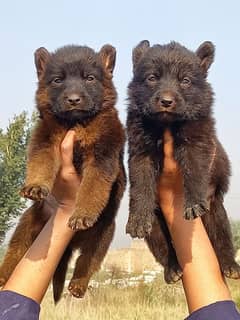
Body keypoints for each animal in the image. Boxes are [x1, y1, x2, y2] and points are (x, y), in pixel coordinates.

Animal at [126, 40, 239, 282]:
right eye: (152, 77)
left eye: (185, 81)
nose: (166, 101)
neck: (166, 124)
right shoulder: (140, 151)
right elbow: (141, 184)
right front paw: (137, 218)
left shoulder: (197, 141)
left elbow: (195, 171)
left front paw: (194, 202)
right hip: (156, 229)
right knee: (166, 249)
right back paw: (173, 269)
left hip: (217, 215)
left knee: (223, 242)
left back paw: (230, 265)